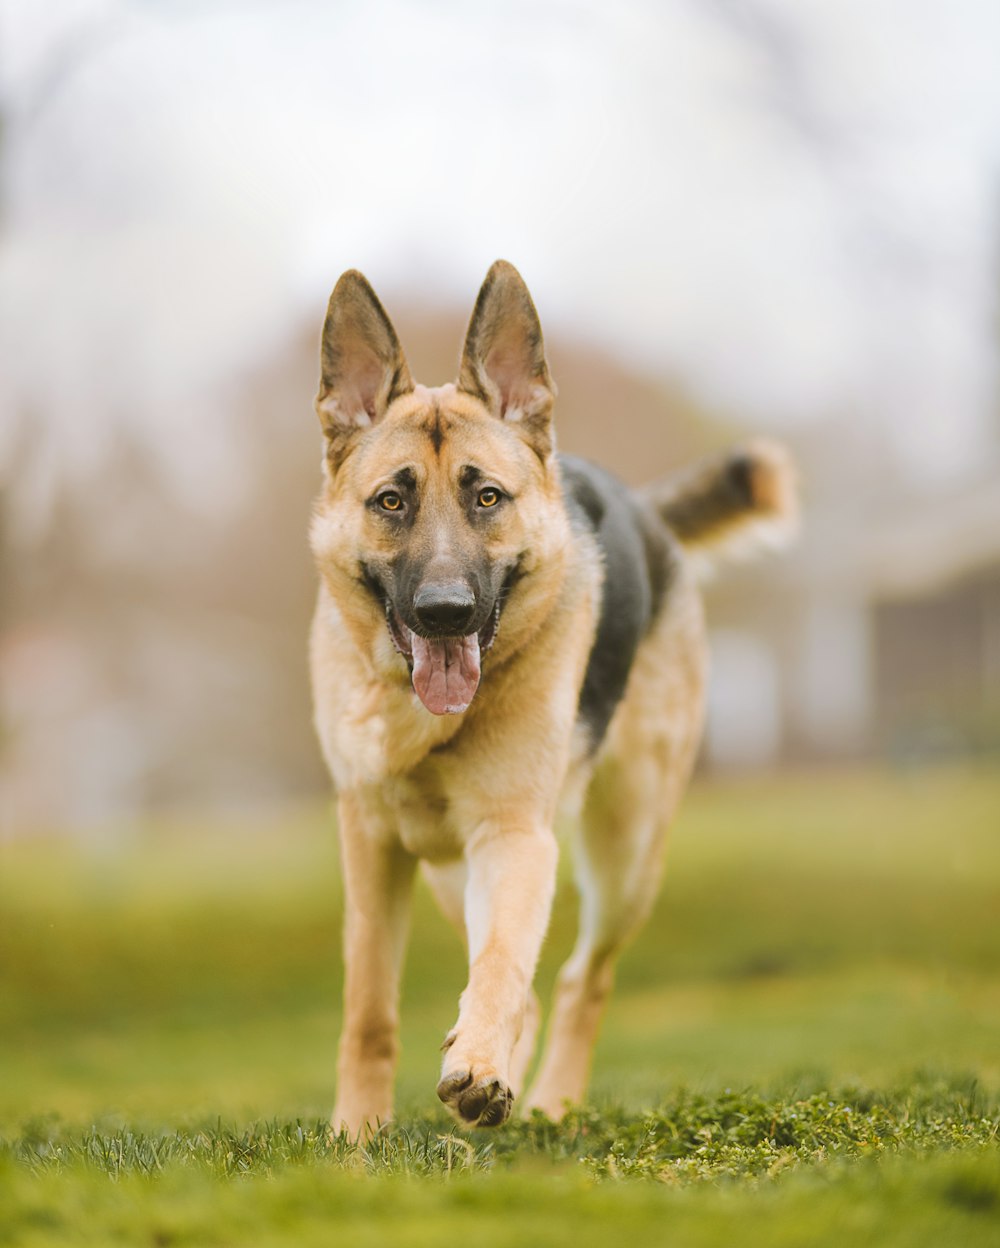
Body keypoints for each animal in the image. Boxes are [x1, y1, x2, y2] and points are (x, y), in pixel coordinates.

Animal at [308, 260, 794, 1133]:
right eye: (392, 501)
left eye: (487, 498)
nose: (444, 612)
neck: (421, 721)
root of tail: (640, 510)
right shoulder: (372, 847)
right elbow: (369, 1007)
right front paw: (357, 1133)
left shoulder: (515, 837)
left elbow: (504, 965)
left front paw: (478, 1067)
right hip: (448, 873)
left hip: (626, 852)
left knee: (578, 978)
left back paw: (551, 1099)